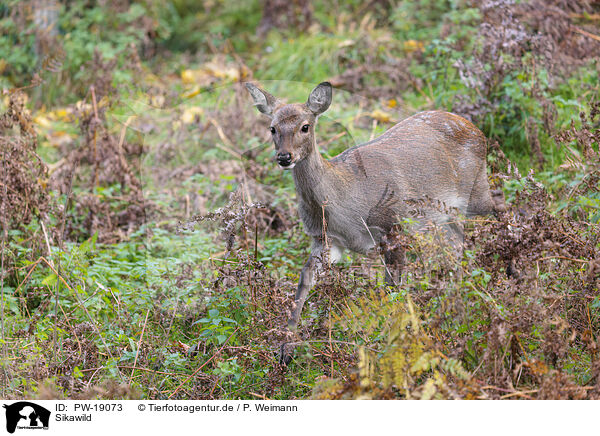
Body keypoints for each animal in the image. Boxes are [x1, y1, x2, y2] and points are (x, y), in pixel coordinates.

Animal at [244, 82, 496, 362]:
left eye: (305, 126)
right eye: (272, 128)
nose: (284, 157)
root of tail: (475, 129)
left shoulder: (393, 227)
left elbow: (392, 288)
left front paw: (388, 343)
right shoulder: (325, 240)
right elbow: (305, 279)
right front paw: (285, 347)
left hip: (477, 191)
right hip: (444, 217)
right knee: (457, 246)